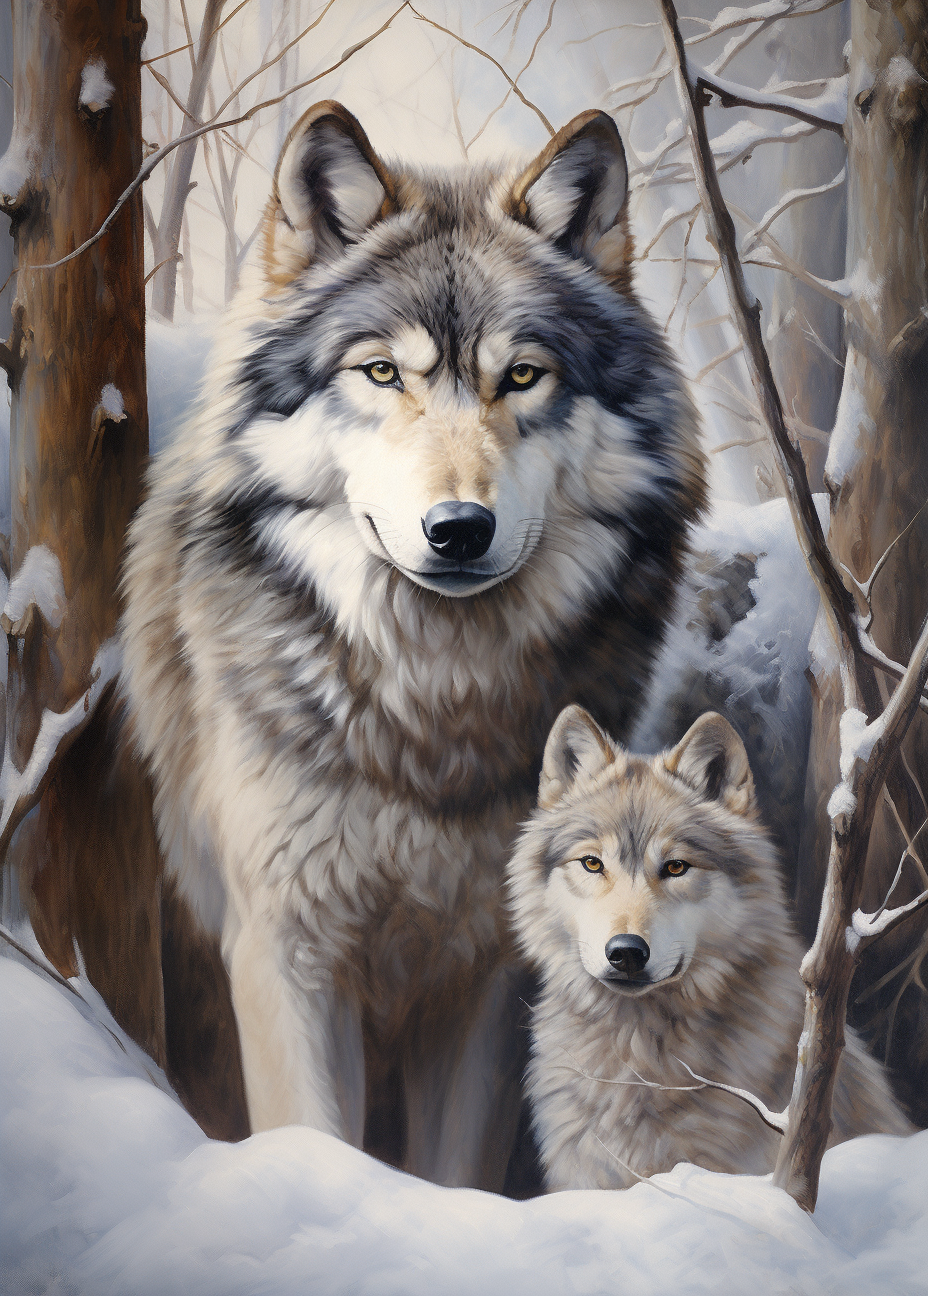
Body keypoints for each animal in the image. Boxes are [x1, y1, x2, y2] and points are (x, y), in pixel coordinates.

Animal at [120, 100, 706, 1190]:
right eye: (383, 372)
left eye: (522, 377)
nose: (458, 530)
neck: (431, 709)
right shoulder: (285, 947)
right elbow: (310, 1137)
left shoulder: (489, 968)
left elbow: (456, 1167)